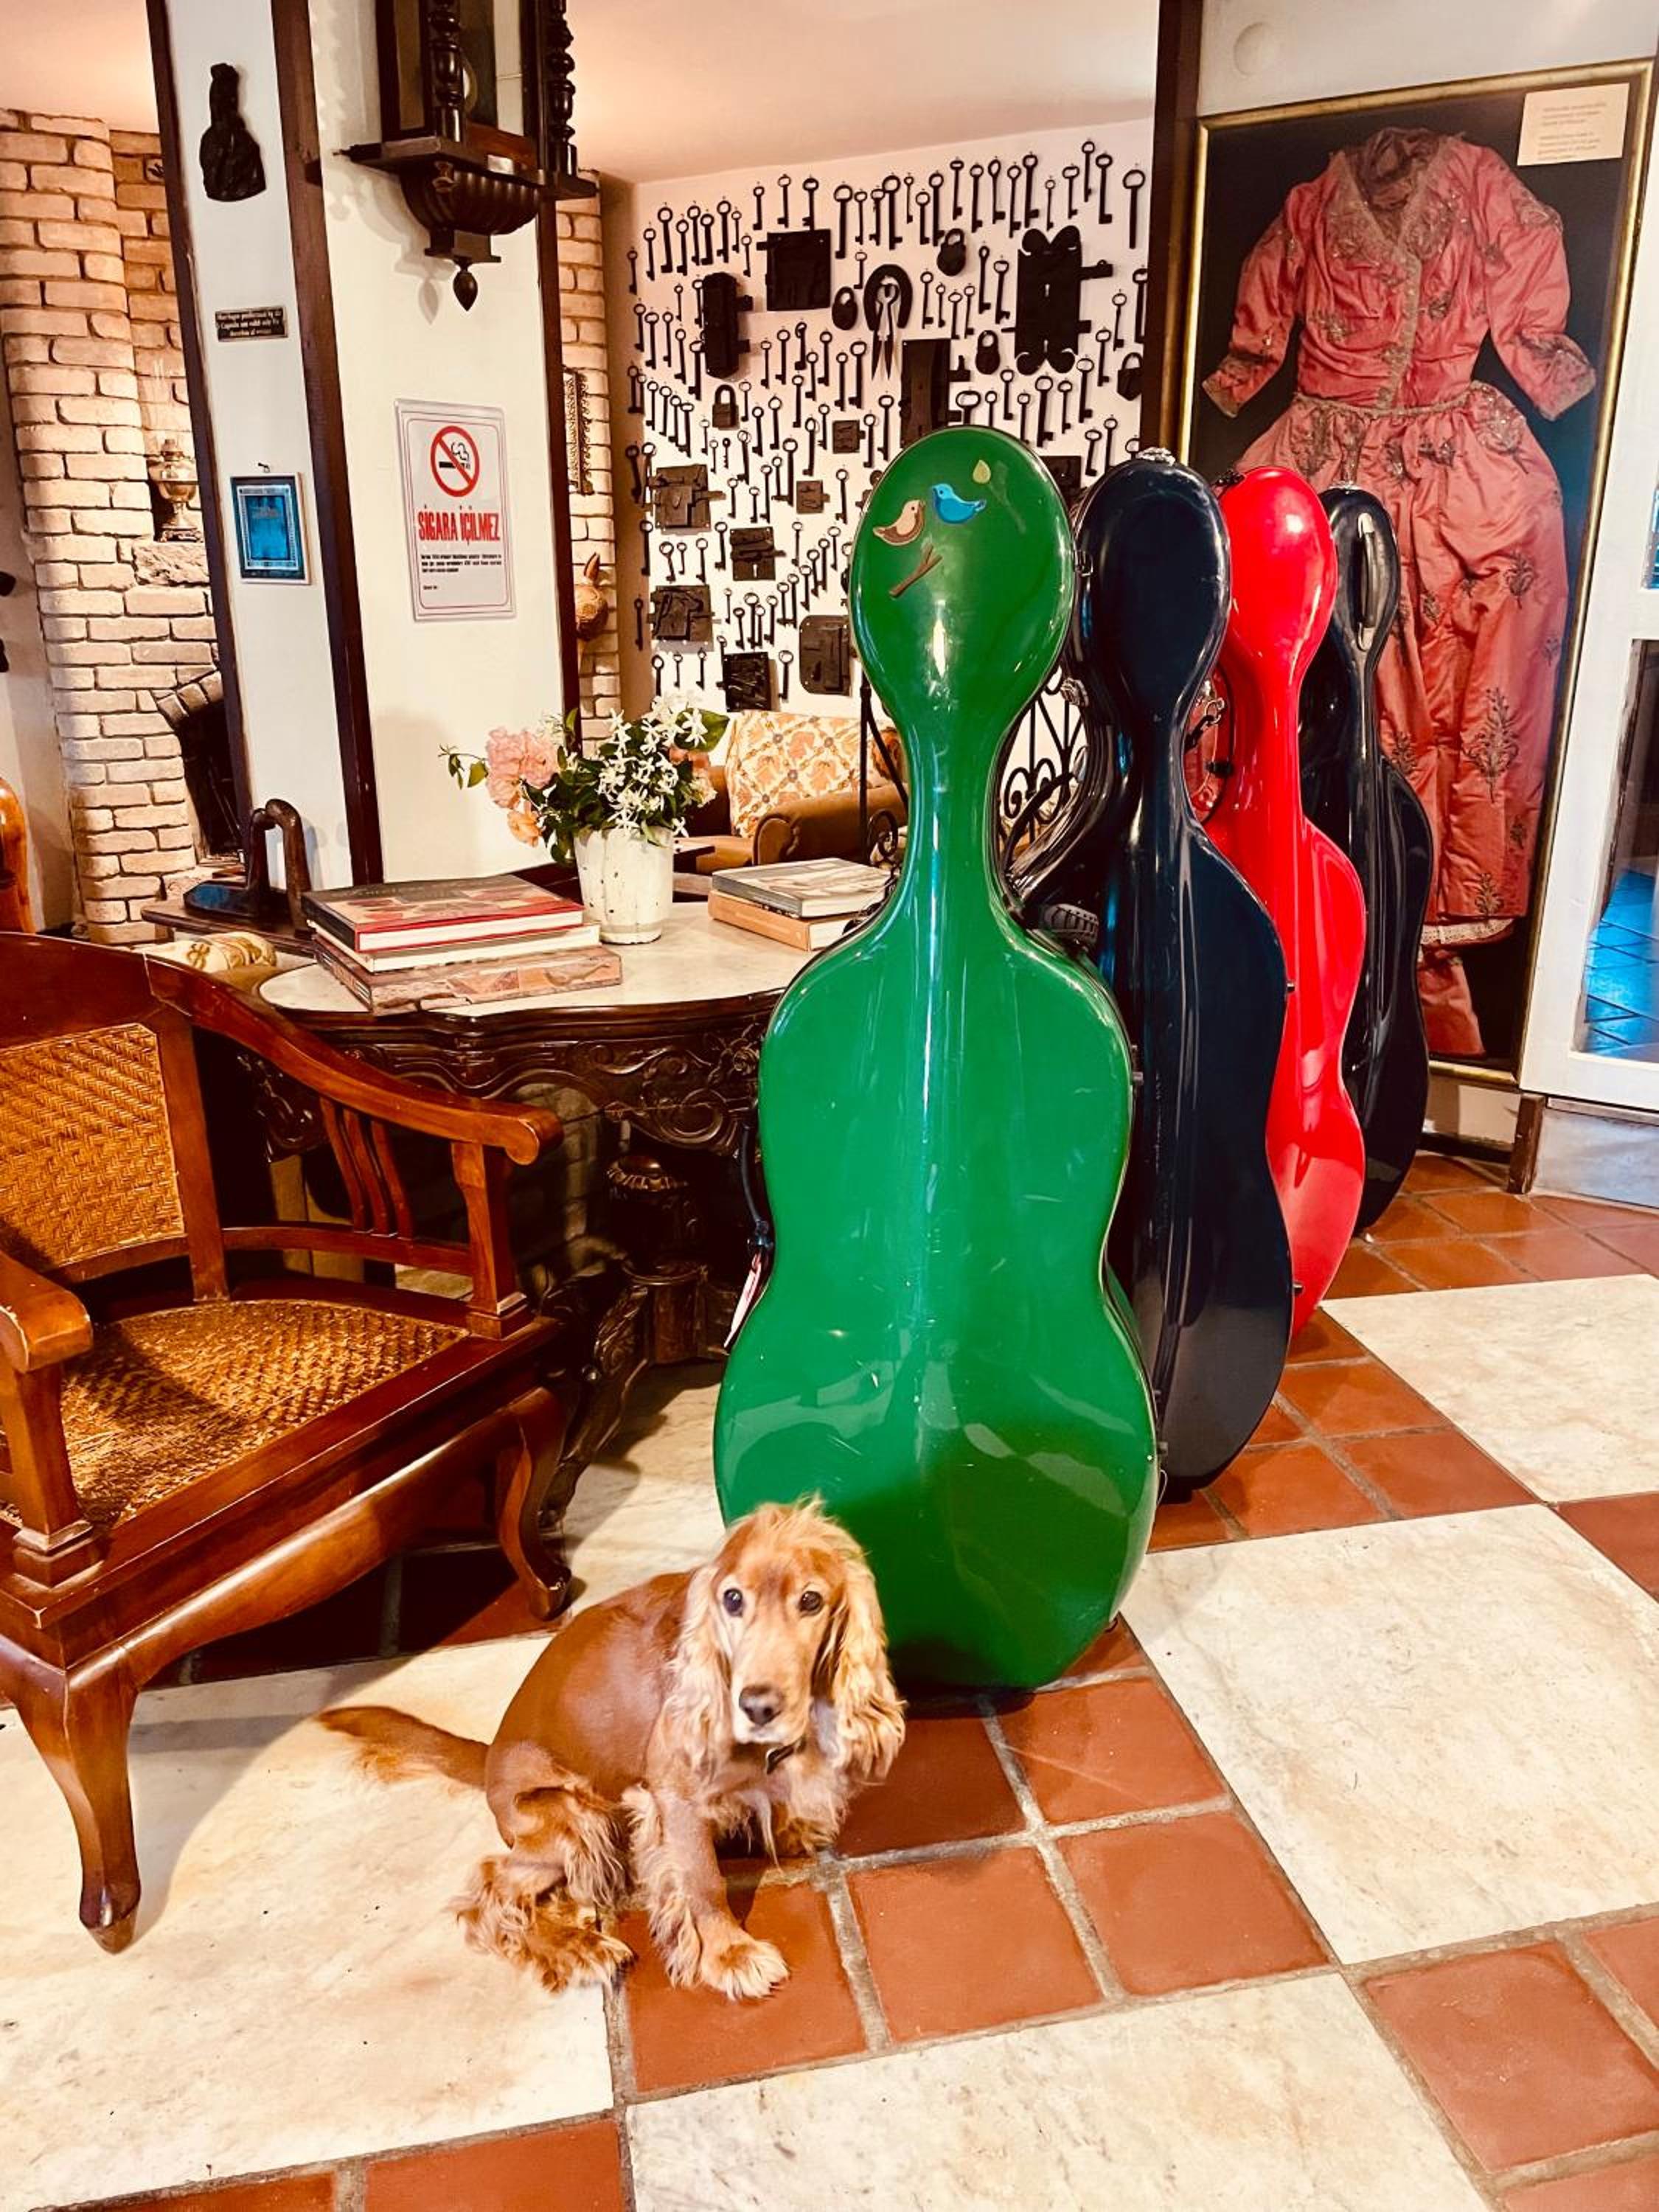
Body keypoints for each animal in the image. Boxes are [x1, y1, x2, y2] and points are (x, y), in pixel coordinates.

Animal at [321, 1499, 903, 2001]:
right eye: (733, 1599)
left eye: (811, 1601)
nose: (758, 1705)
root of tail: (489, 1758)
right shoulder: (674, 1798)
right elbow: (704, 1882)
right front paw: (729, 1955)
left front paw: (788, 1829)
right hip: (572, 1816)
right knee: (490, 1895)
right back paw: (577, 1948)